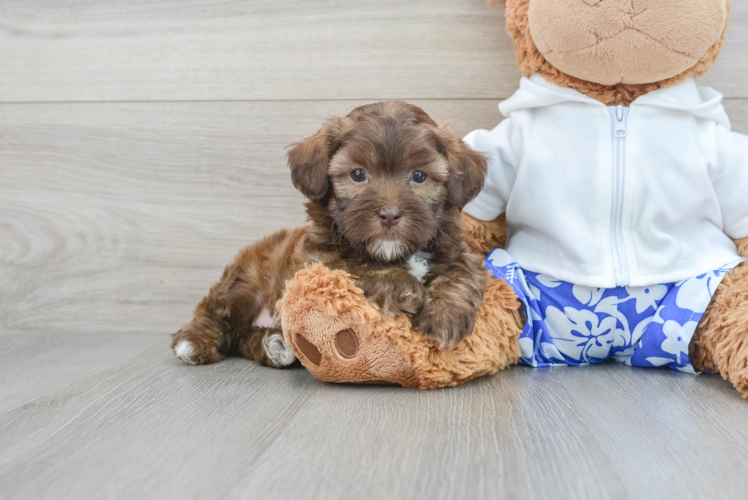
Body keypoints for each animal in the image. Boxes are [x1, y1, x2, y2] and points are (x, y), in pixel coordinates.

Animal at [174, 101, 490, 368]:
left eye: (419, 176)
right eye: (358, 174)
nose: (389, 214)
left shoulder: (458, 251)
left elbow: (460, 274)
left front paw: (445, 316)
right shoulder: (314, 263)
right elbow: (354, 266)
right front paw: (403, 285)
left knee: (243, 339)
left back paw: (274, 345)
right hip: (242, 285)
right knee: (216, 316)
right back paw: (192, 343)